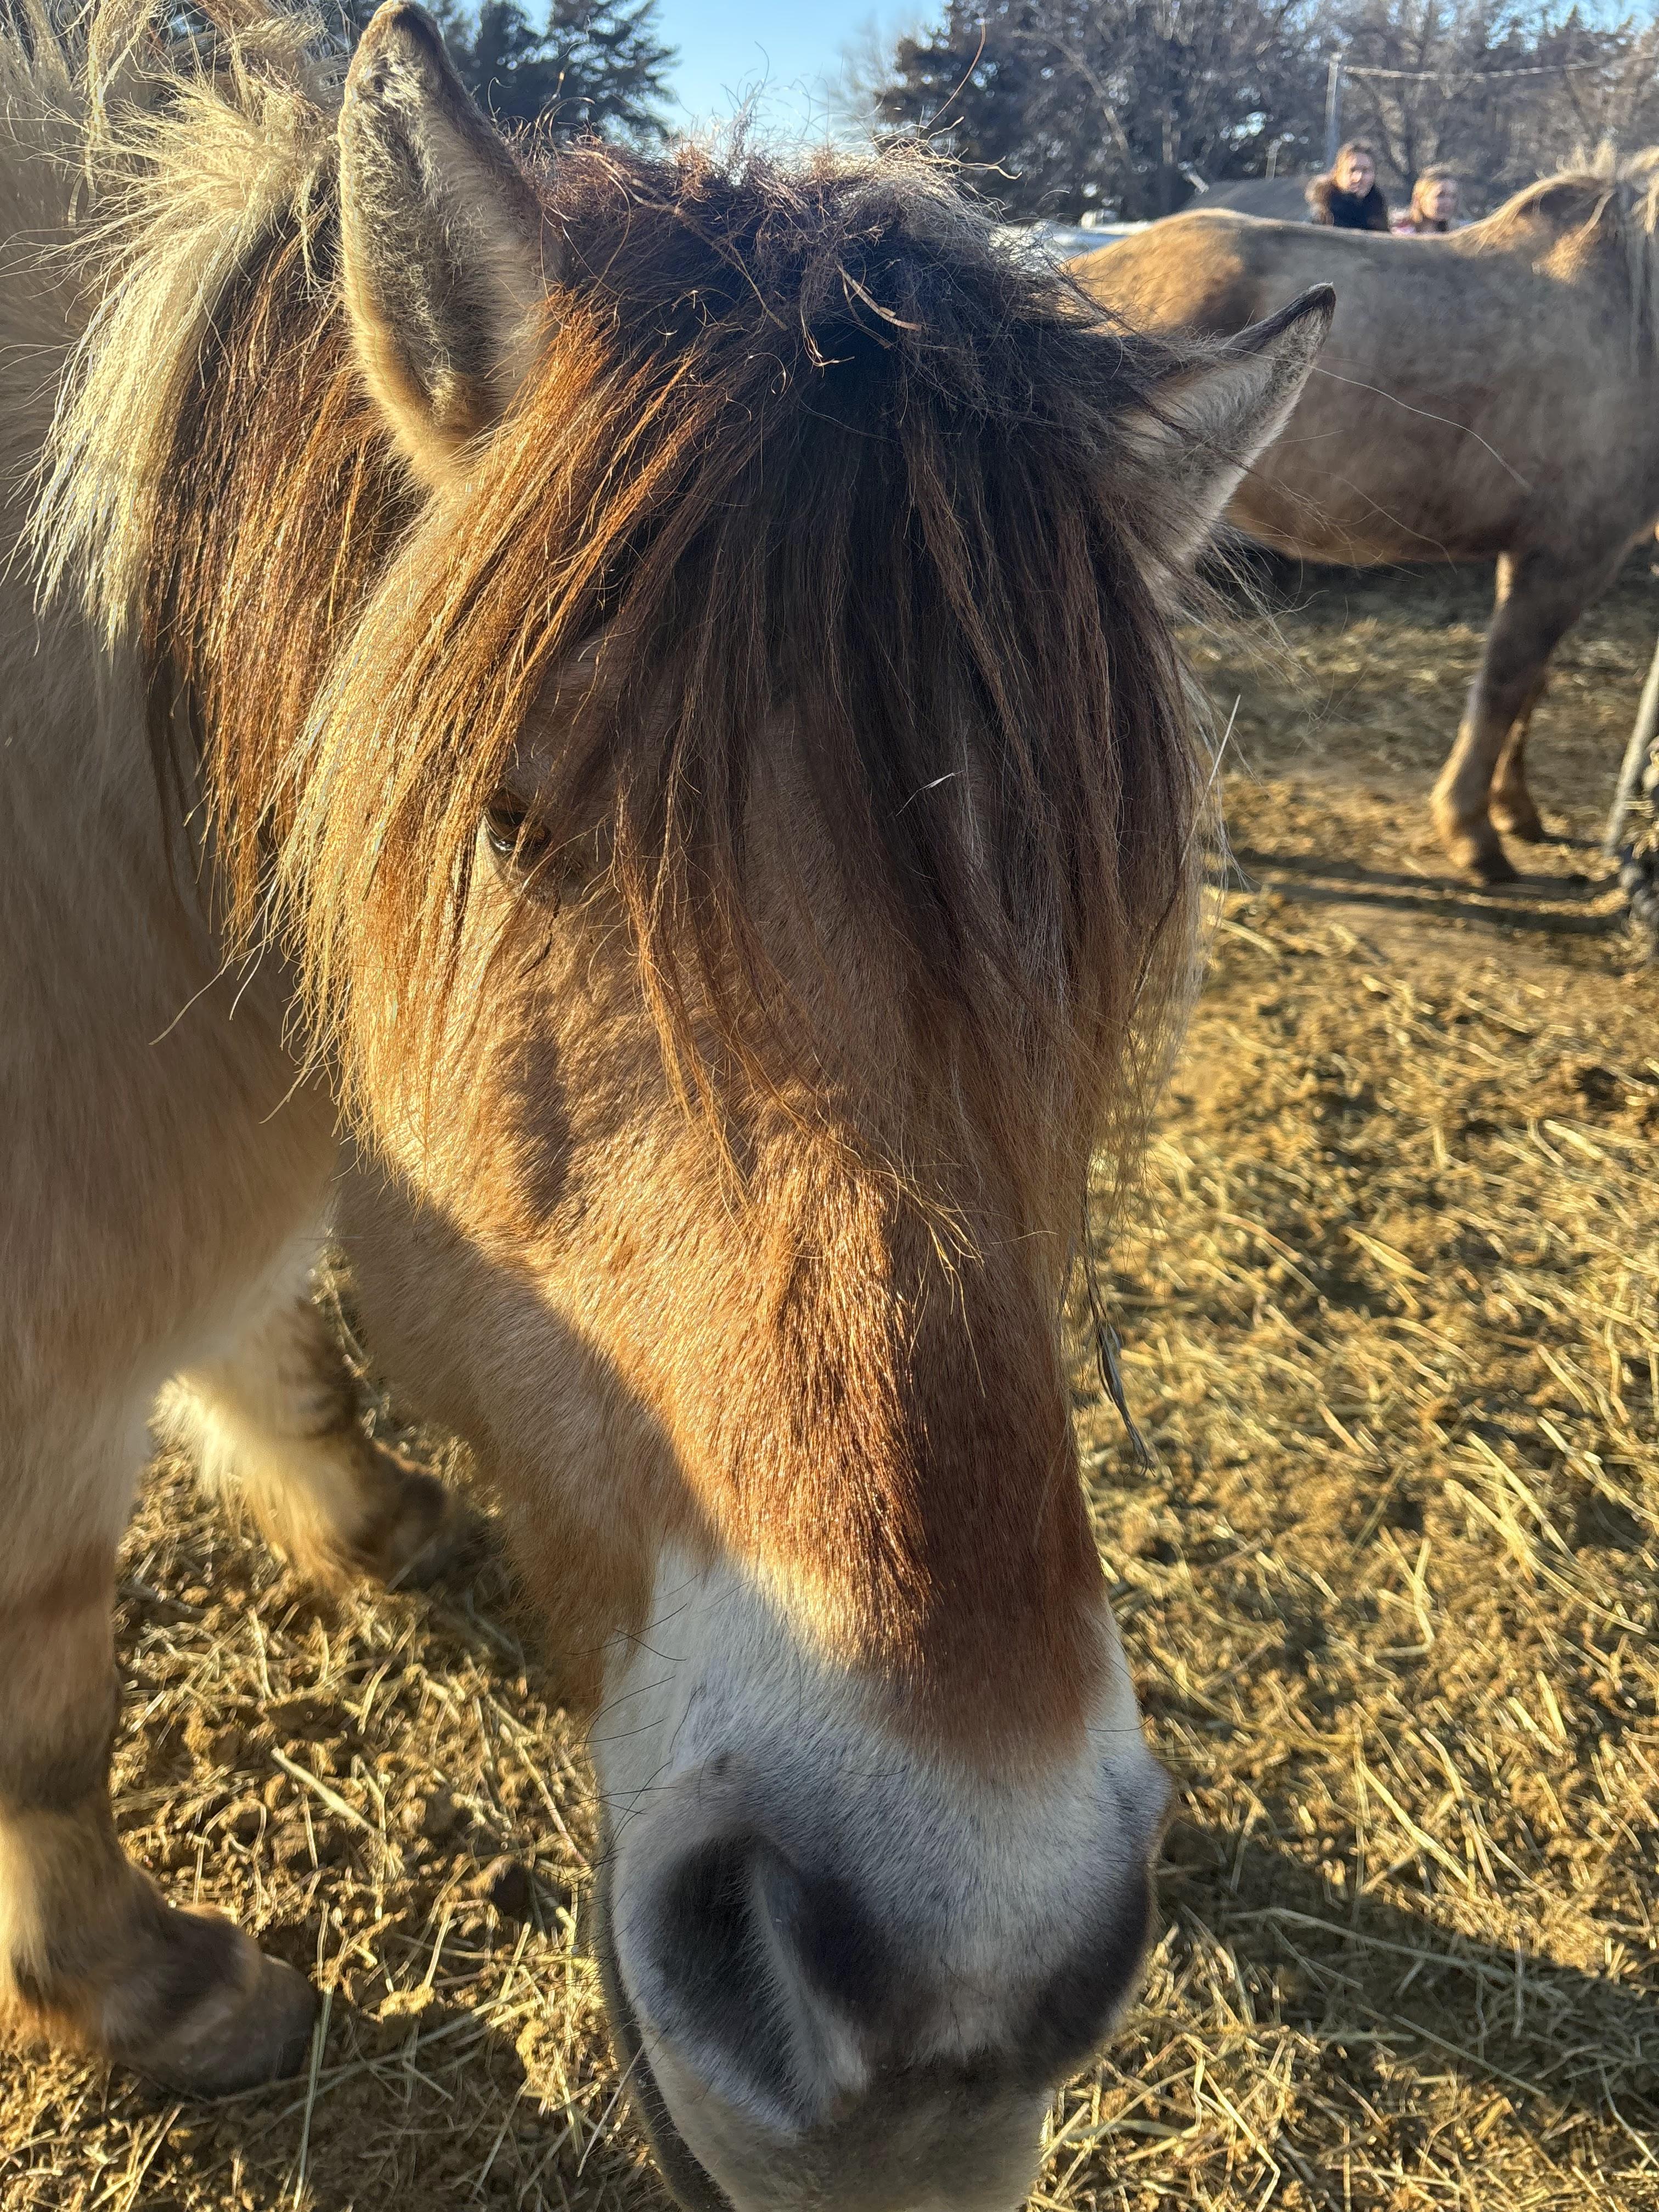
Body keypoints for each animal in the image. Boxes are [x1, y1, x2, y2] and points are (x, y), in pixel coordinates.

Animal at [0, 0, 1331, 2200]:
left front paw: (361, 1511)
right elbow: (47, 1683)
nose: (951, 2012)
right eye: (509, 820)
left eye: (1099, 915)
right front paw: (144, 1990)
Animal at [1073, 155, 1659, 884]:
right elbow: (1503, 688)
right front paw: (1474, 833)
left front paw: (1516, 810)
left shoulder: (1543, 557)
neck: (1633, 317)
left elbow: (1531, 689)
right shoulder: (1573, 555)